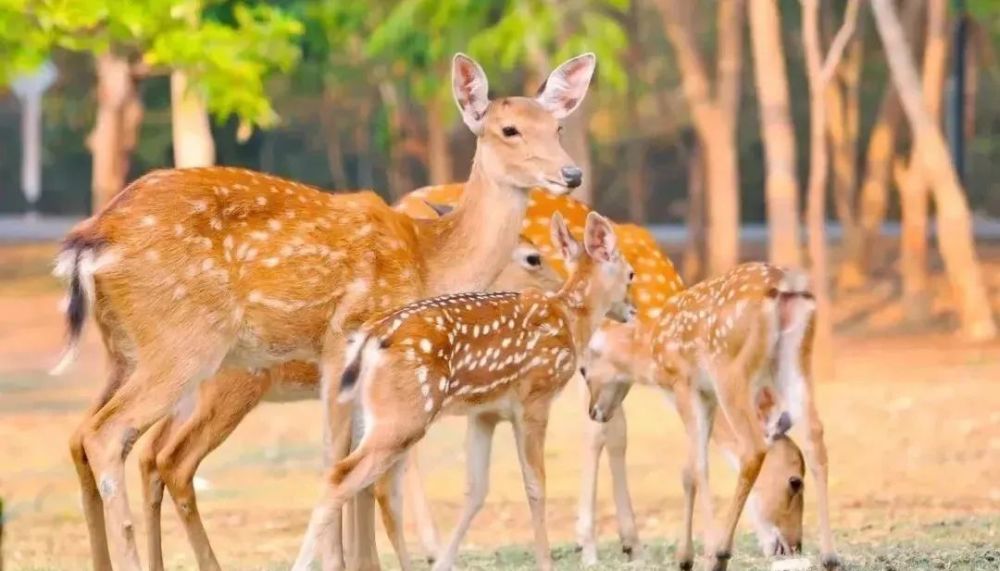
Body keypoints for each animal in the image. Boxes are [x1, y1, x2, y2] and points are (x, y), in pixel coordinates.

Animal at [52, 50, 592, 571]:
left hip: (125, 351)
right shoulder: (345, 340)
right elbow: (346, 466)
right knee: (113, 438)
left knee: (86, 438)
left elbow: (351, 467)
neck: (429, 261)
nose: (572, 174)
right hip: (185, 343)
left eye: (558, 128)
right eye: (509, 129)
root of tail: (90, 241)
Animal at [292, 211, 632, 571]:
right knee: (343, 477)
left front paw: (445, 562)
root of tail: (368, 340)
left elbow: (476, 489)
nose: (631, 310)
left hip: (382, 417)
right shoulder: (535, 398)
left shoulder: (485, 412)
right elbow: (535, 485)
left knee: (381, 490)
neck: (570, 319)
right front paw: (545, 563)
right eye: (631, 275)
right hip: (403, 415)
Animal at [584, 264, 840, 571]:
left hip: (731, 368)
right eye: (795, 482)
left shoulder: (684, 385)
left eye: (583, 371)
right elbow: (688, 470)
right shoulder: (706, 396)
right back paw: (830, 557)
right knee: (815, 435)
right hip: (795, 360)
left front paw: (701, 553)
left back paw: (720, 553)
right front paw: (684, 557)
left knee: (753, 447)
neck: (651, 351)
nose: (593, 410)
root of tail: (786, 285)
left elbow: (698, 467)